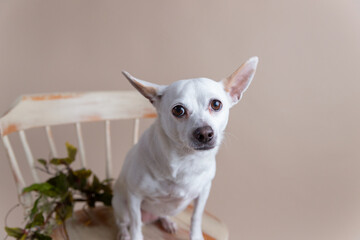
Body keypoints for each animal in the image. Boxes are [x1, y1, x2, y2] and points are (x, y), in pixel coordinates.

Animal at [112, 56, 258, 240]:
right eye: (179, 110)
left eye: (216, 104)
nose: (204, 133)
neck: (186, 160)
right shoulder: (134, 196)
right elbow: (136, 225)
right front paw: (134, 235)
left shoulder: (203, 193)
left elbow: (196, 217)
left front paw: (195, 236)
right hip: (122, 207)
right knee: (125, 223)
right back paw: (124, 234)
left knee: (162, 214)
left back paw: (167, 222)